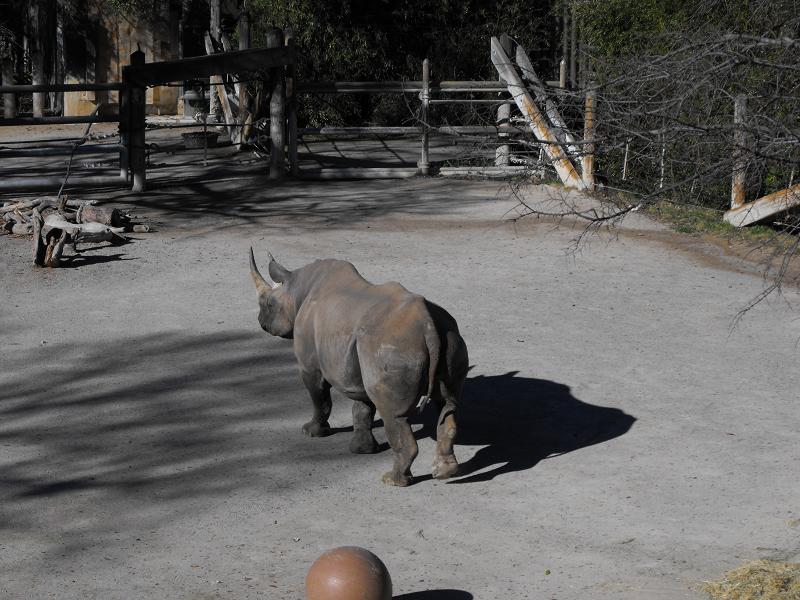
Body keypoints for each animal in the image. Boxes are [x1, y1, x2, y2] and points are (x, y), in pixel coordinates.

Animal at [249, 249, 469, 486]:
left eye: (268, 304)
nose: (260, 322)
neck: (296, 288)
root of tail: (428, 325)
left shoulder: (310, 365)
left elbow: (320, 398)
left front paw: (311, 431)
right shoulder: (358, 364)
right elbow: (362, 407)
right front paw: (362, 450)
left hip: (393, 346)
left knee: (393, 414)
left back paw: (392, 480)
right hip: (447, 338)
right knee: (447, 404)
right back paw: (445, 472)